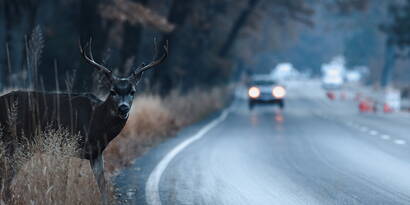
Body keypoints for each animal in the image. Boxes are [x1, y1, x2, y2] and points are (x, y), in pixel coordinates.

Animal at [0, 39, 168, 203]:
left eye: (132, 91)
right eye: (112, 91)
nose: (123, 108)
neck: (97, 121)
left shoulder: (96, 152)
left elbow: (102, 186)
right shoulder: (71, 143)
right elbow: (66, 181)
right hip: (17, 141)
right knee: (7, 177)